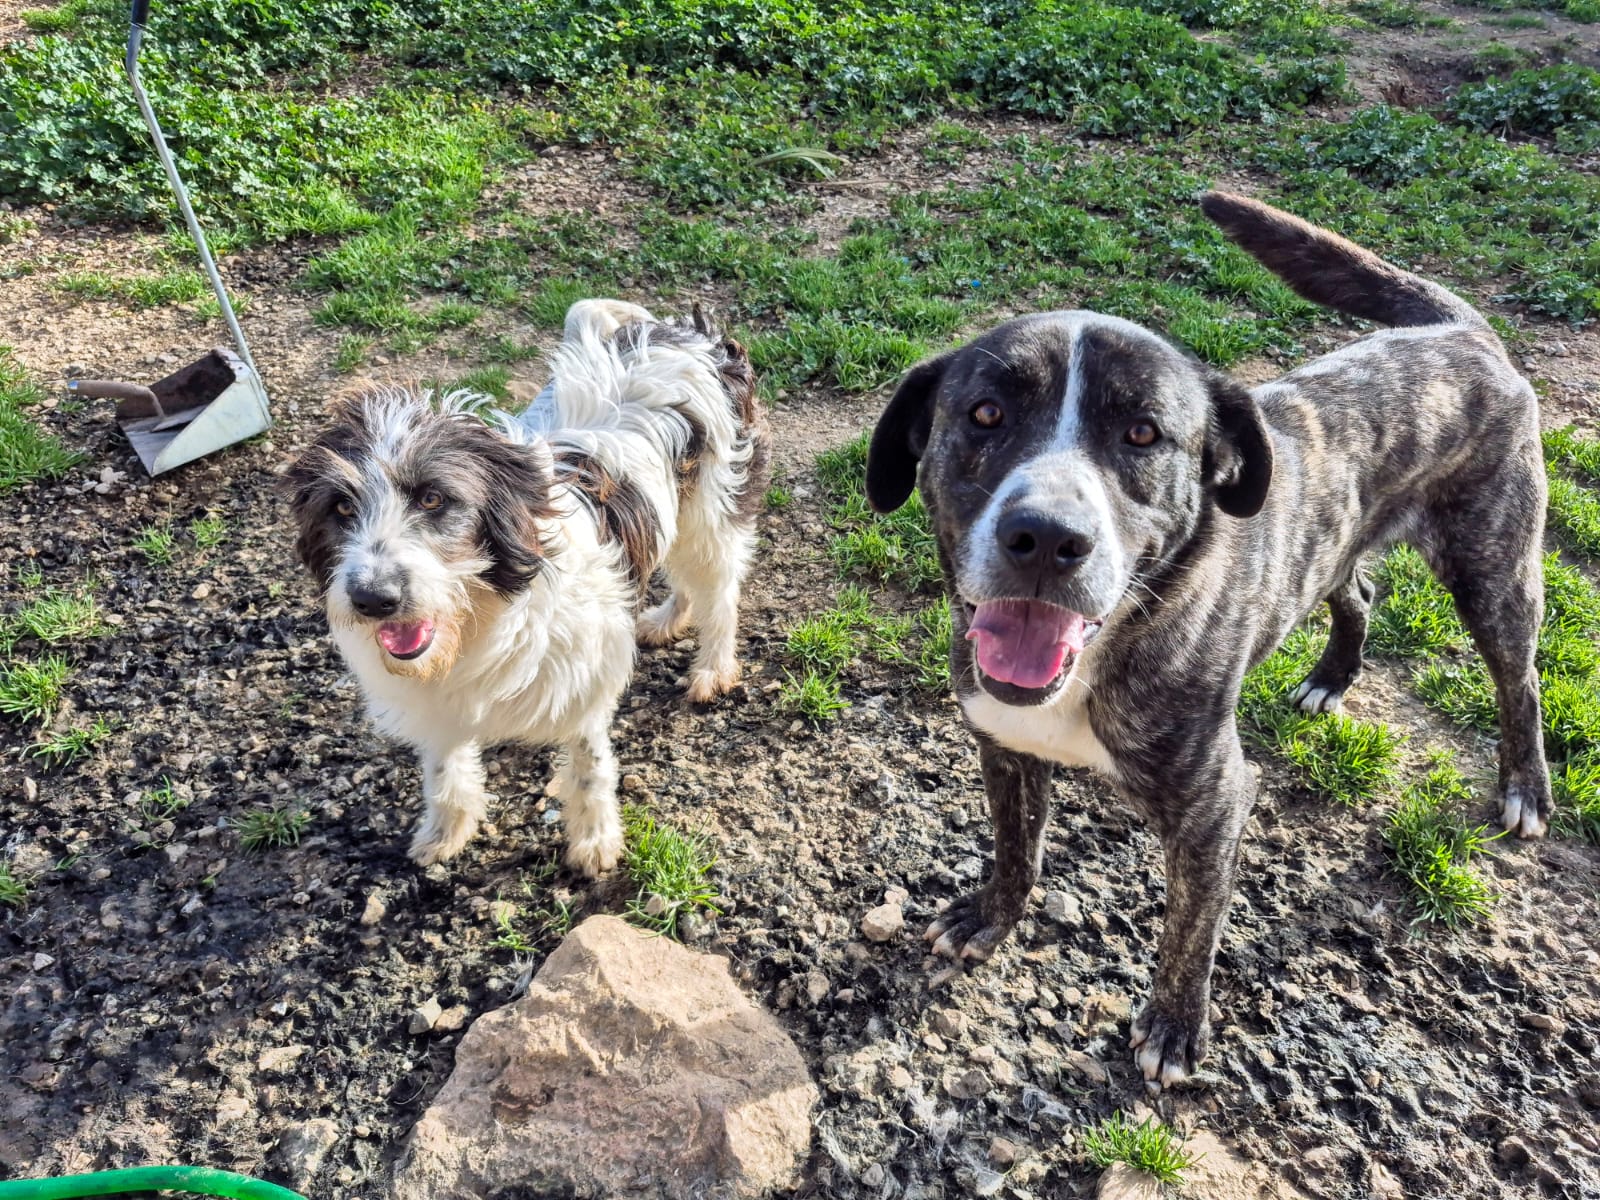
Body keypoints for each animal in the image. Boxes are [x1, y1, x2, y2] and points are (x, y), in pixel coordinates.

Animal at [287, 300, 770, 875]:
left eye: (433, 498)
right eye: (340, 507)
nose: (372, 599)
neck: (482, 614)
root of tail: (683, 331)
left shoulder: (584, 682)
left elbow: (589, 767)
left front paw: (595, 841)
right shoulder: (435, 702)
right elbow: (444, 769)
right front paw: (446, 830)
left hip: (714, 512)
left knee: (720, 595)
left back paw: (712, 669)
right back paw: (665, 619)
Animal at [865, 192, 1549, 1088]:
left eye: (1145, 434)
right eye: (984, 414)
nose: (1046, 538)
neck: (1111, 647)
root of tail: (1462, 330)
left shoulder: (1214, 805)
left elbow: (1192, 927)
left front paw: (1175, 1025)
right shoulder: (1005, 748)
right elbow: (1017, 847)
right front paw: (991, 914)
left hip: (1495, 571)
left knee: (1519, 679)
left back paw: (1526, 787)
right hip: (1339, 547)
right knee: (1359, 591)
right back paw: (1332, 676)